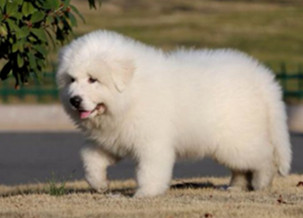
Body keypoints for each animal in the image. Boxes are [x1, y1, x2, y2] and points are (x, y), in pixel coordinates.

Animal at [56, 29, 292, 198]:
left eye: (93, 79)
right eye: (72, 80)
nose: (74, 100)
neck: (131, 93)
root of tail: (261, 77)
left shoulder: (152, 142)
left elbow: (149, 170)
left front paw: (145, 194)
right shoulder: (114, 137)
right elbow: (90, 156)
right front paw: (100, 184)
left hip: (238, 138)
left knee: (264, 157)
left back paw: (262, 182)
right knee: (242, 167)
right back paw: (236, 187)